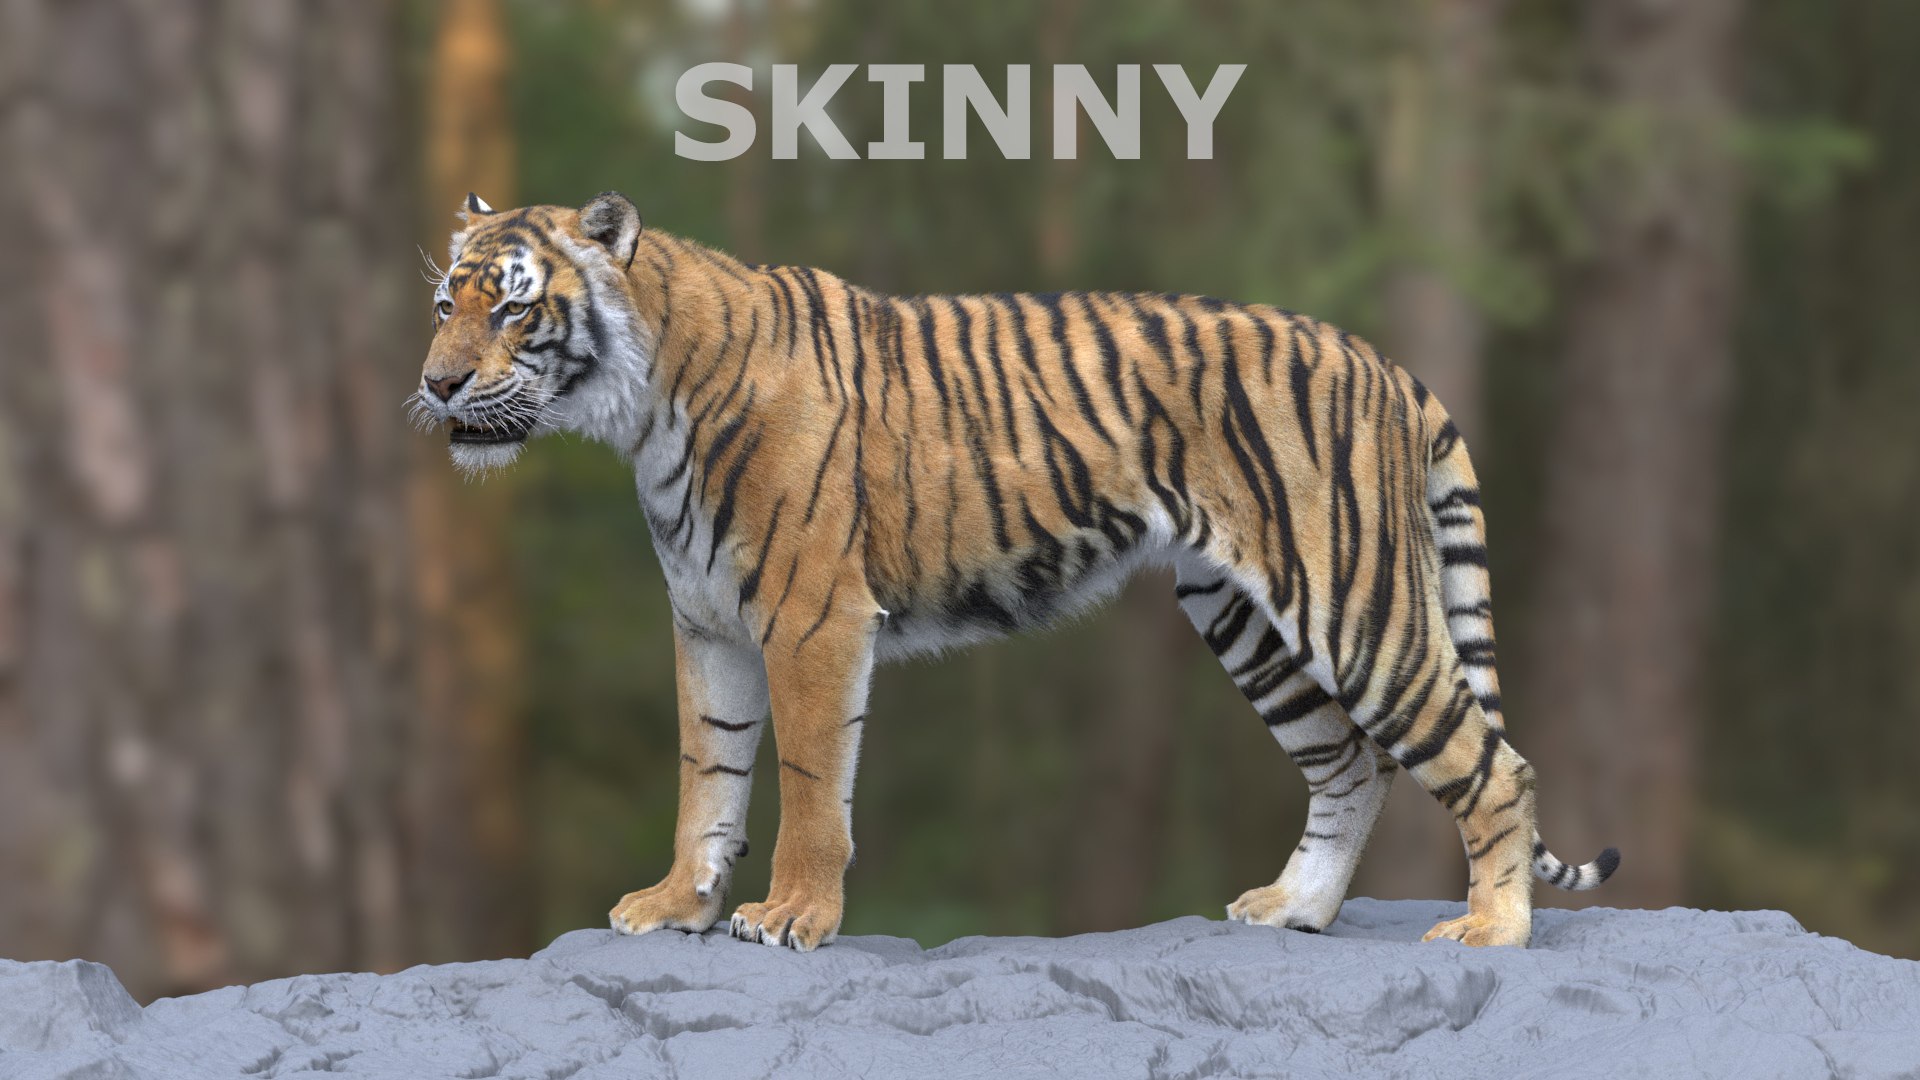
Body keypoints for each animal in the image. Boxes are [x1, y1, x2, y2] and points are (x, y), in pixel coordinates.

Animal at [415, 190, 1618, 953]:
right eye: (444, 306)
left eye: (514, 305)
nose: (434, 385)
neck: (642, 411)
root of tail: (1387, 366)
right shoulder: (707, 622)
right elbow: (705, 776)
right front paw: (678, 905)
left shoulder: (812, 615)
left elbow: (806, 782)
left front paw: (790, 918)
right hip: (1243, 614)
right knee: (1351, 764)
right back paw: (1295, 907)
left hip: (1352, 601)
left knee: (1490, 765)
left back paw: (1492, 930)